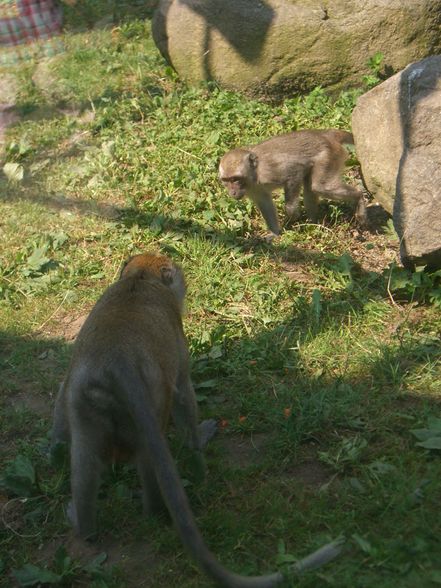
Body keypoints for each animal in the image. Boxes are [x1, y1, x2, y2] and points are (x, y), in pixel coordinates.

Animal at [50, 253, 340, 588]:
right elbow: (183, 392)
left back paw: (84, 528)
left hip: (87, 399)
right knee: (150, 452)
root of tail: (115, 363)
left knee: (84, 457)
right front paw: (198, 447)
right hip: (147, 402)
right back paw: (155, 513)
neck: (139, 280)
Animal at [218, 129, 366, 239]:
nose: (233, 192)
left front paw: (291, 218)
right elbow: (264, 202)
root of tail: (325, 134)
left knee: (319, 187)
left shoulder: (270, 172)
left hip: (328, 156)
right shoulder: (254, 189)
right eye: (226, 180)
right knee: (311, 187)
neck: (254, 174)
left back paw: (358, 197)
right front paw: (274, 233)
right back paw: (314, 223)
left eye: (235, 179)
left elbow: (294, 173)